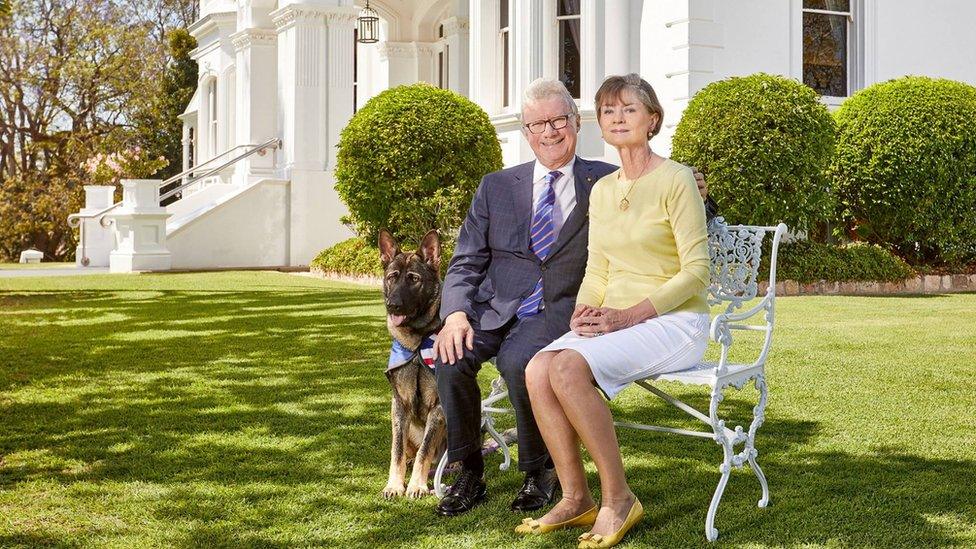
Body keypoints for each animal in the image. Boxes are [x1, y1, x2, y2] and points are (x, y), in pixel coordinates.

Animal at [378, 227, 446, 496]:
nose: (392, 305)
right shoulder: (400, 405)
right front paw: (395, 485)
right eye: (392, 278)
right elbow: (396, 452)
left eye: (414, 279)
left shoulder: (438, 406)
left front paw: (417, 485)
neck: (417, 345)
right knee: (407, 451)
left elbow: (425, 451)